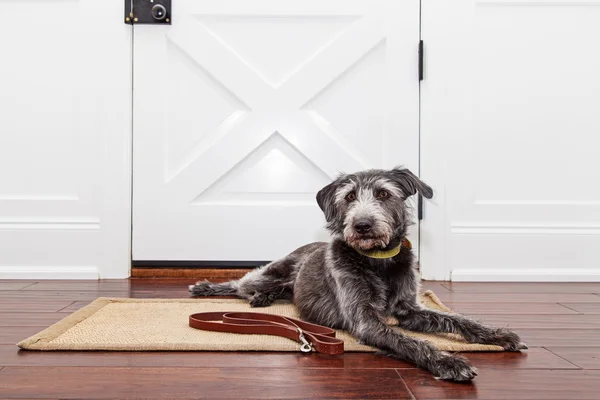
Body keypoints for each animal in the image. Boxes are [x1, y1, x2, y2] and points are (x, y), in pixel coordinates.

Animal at [189, 166, 524, 382]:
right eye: (350, 197)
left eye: (384, 194)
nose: (362, 225)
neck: (378, 260)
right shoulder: (365, 320)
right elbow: (414, 342)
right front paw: (449, 361)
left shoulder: (410, 309)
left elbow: (457, 320)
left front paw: (497, 334)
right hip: (269, 272)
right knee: (241, 283)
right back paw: (209, 288)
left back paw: (264, 299)